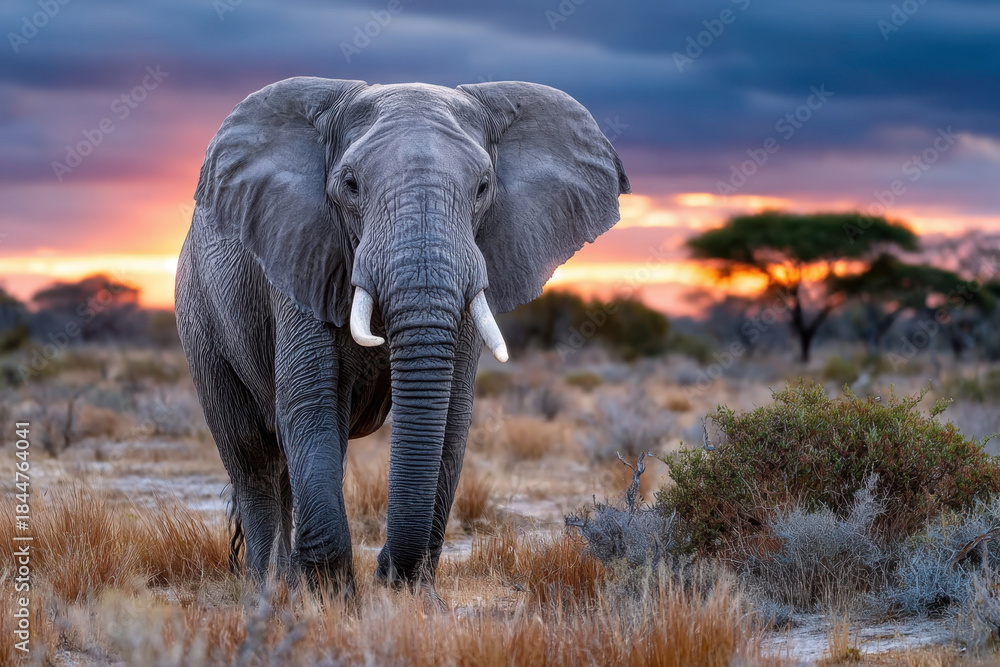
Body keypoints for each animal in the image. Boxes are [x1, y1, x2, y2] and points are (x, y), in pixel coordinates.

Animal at [174, 77, 629, 595]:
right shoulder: (302, 253)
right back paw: (264, 589)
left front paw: (414, 595)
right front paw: (331, 598)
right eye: (350, 185)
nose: (386, 570)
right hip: (199, 315)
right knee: (253, 458)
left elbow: (451, 413)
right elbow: (311, 399)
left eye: (483, 187)